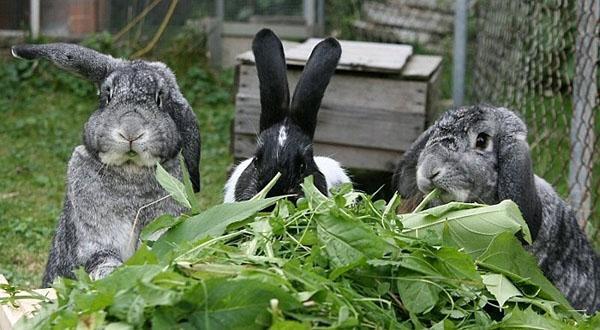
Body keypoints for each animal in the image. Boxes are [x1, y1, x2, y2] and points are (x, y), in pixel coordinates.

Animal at [11, 43, 202, 286]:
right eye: (107, 96)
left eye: (160, 99)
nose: (131, 131)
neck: (131, 169)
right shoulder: (95, 240)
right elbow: (102, 259)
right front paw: (113, 276)